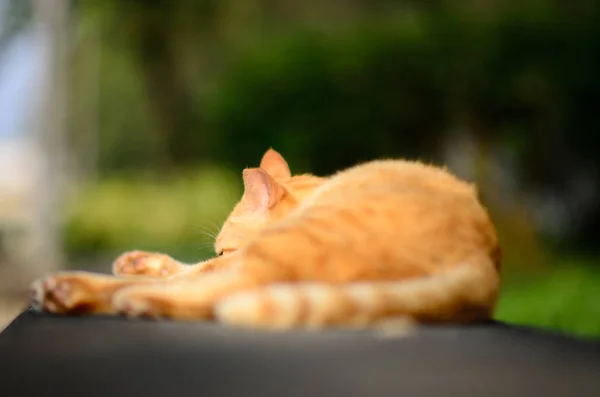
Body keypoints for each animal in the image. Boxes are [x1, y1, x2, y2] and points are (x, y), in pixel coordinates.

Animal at [31, 148, 502, 328]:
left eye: (224, 244)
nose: (222, 252)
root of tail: (482, 257)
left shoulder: (231, 258)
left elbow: (196, 270)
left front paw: (138, 273)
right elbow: (187, 267)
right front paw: (142, 262)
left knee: (215, 290)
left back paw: (89, 291)